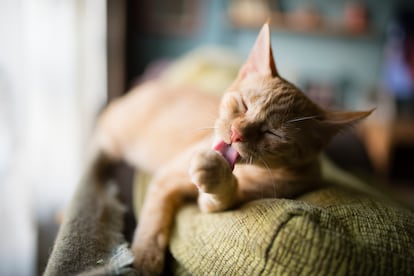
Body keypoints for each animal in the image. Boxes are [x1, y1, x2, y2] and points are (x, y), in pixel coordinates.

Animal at [93, 23, 372, 274]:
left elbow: (219, 197)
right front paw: (145, 257)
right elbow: (153, 219)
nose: (236, 133)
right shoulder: (167, 177)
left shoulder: (227, 200)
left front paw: (217, 173)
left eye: (272, 132)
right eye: (244, 105)